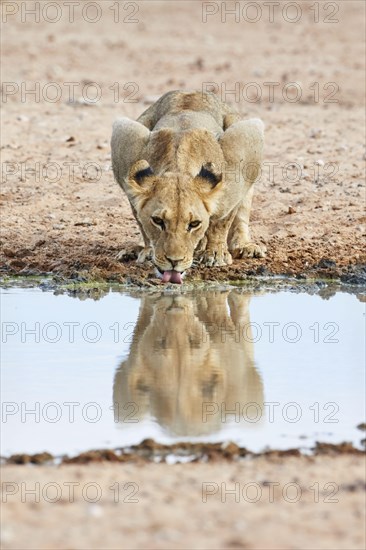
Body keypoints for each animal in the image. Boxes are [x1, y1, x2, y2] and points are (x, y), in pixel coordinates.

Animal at [110, 90, 264, 284]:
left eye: (194, 224)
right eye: (158, 221)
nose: (174, 262)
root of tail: (189, 91)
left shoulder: (238, 159)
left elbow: (222, 220)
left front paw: (216, 254)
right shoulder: (126, 143)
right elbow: (140, 219)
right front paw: (149, 250)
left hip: (250, 128)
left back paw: (245, 247)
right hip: (127, 125)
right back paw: (133, 250)